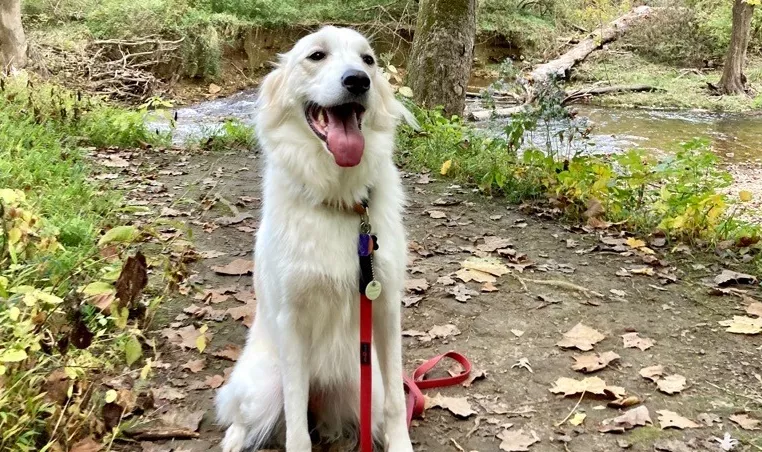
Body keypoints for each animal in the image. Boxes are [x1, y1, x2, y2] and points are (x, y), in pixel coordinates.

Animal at [214, 25, 416, 452]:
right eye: (316, 55)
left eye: (368, 60)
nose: (358, 80)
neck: (338, 200)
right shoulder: (292, 323)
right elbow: (295, 426)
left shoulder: (386, 309)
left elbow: (395, 401)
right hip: (263, 385)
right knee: (240, 415)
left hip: (362, 386)